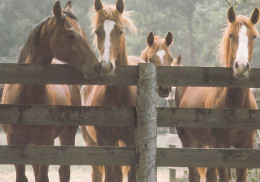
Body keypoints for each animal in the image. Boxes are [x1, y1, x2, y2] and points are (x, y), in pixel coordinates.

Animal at [1, 1, 100, 182]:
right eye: (71, 35)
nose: (96, 67)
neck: (26, 98)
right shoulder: (14, 143)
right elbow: (22, 176)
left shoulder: (46, 142)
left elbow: (43, 176)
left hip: (67, 135)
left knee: (64, 171)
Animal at [79, 0, 144, 182]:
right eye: (97, 31)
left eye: (120, 31)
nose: (106, 66)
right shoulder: (105, 142)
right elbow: (109, 175)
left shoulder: (130, 142)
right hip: (92, 142)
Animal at [176, 6, 258, 181]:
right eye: (231, 35)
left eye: (254, 36)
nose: (241, 66)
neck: (235, 106)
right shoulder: (220, 148)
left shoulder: (245, 149)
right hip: (189, 142)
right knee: (194, 174)